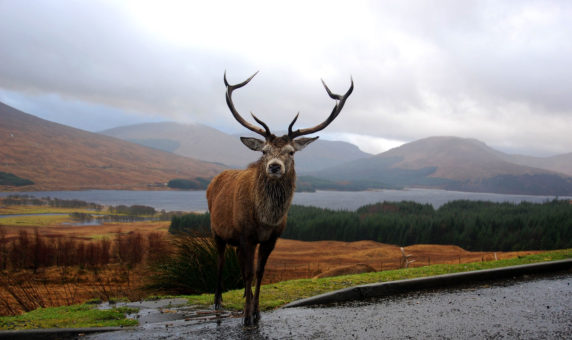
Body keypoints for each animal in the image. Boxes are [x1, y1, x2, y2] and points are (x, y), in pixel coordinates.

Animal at [206, 70, 354, 326]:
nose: (274, 166)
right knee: (220, 261)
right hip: (217, 230)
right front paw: (246, 317)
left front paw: (256, 312)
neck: (265, 220)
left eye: (291, 152)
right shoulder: (245, 235)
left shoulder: (271, 239)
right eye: (264, 151)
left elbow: (259, 272)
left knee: (238, 263)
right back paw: (218, 301)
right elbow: (248, 272)